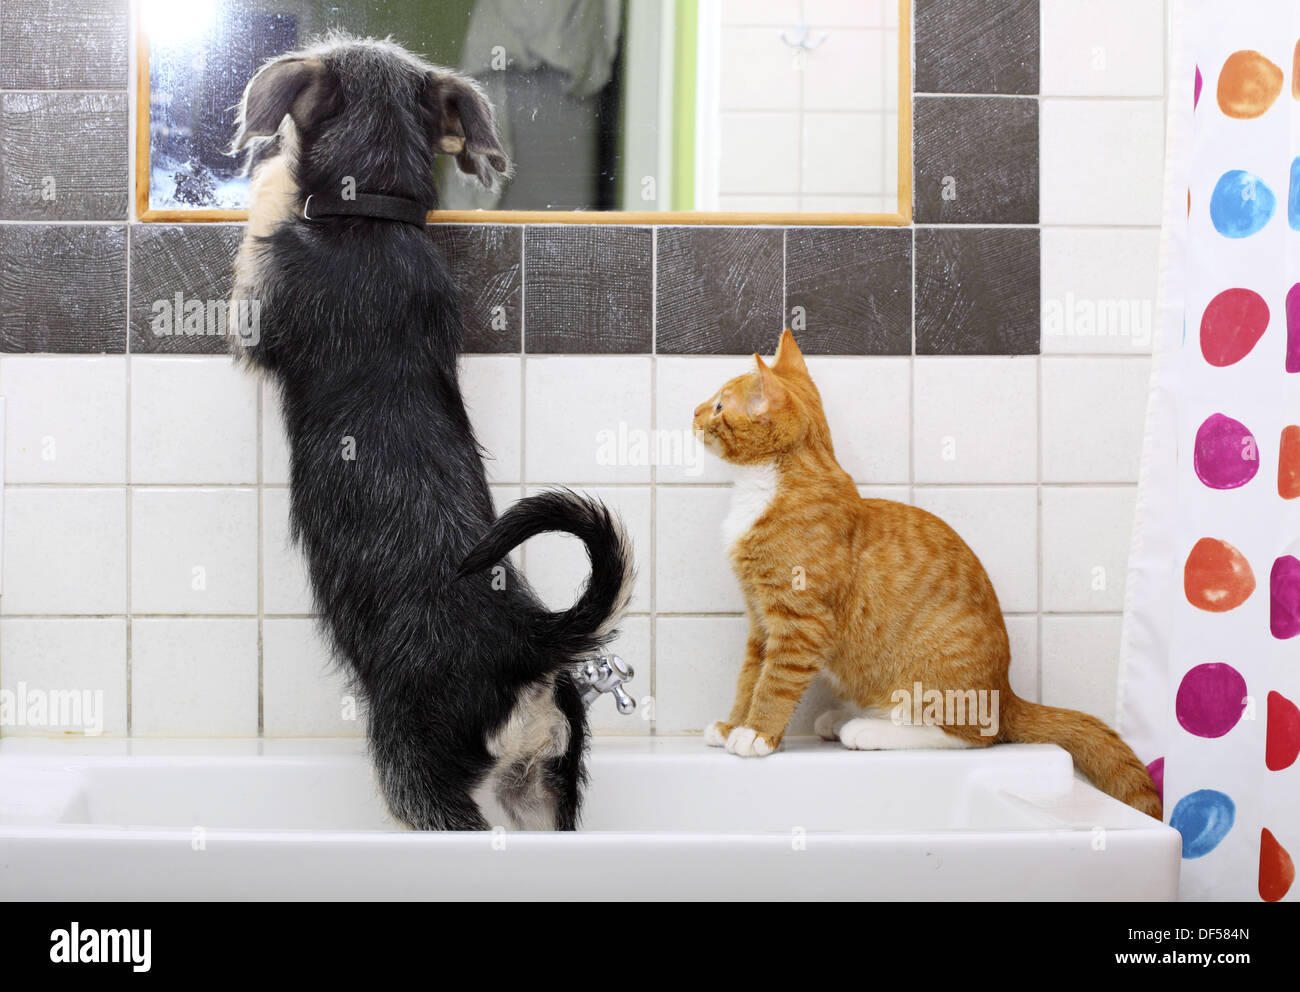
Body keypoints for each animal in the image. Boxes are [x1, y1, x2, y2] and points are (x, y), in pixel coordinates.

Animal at [228, 32, 634, 832]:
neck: (373, 214)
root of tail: (521, 644)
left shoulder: (255, 310)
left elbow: (268, 216)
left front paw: (271, 174)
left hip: (415, 769)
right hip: (542, 791)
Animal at [696, 330, 1164, 816]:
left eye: (719, 406)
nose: (693, 413)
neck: (765, 489)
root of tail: (1006, 693)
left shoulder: (800, 623)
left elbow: (775, 682)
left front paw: (757, 733)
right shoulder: (761, 620)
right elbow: (750, 677)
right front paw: (732, 725)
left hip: (940, 684)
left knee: (971, 734)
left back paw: (867, 729)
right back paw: (846, 716)